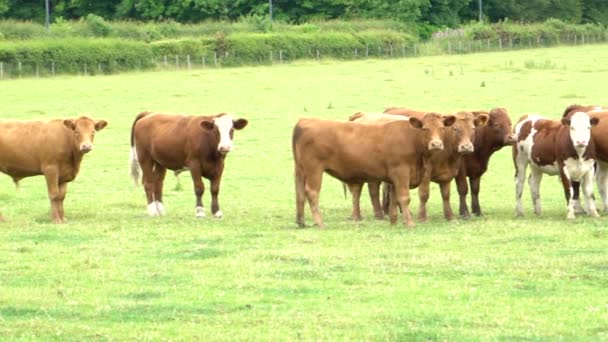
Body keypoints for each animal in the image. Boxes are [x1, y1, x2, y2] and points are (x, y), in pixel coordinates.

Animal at [290, 113, 456, 228]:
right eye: (425, 128)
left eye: (442, 128)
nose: (436, 144)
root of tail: (304, 121)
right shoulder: (401, 172)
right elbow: (404, 198)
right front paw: (409, 223)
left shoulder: (394, 178)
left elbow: (394, 199)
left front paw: (394, 222)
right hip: (314, 169)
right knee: (312, 192)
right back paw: (319, 223)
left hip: (300, 169)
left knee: (299, 193)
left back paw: (301, 222)